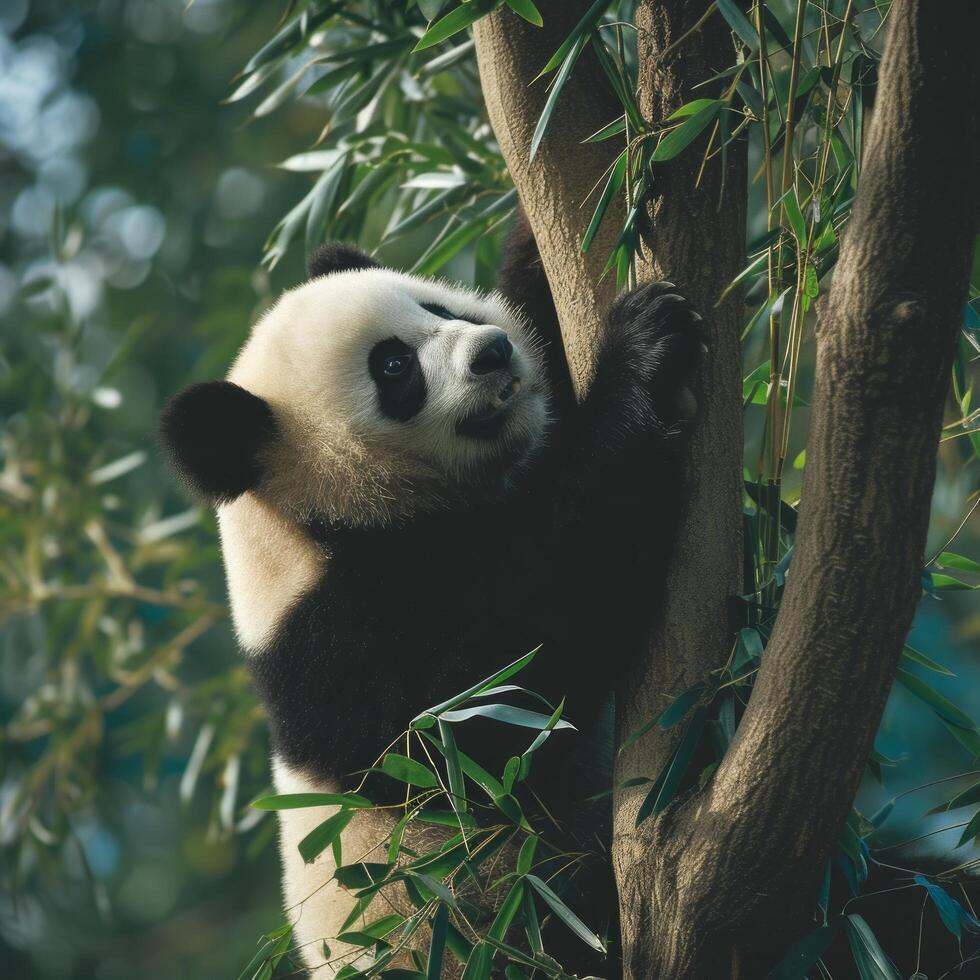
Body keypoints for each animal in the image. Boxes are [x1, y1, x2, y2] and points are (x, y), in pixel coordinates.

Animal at [159, 226, 696, 976]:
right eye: (393, 367)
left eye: (436, 307)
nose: (493, 350)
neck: (305, 524)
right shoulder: (340, 650)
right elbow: (502, 683)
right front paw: (639, 352)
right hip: (487, 927)